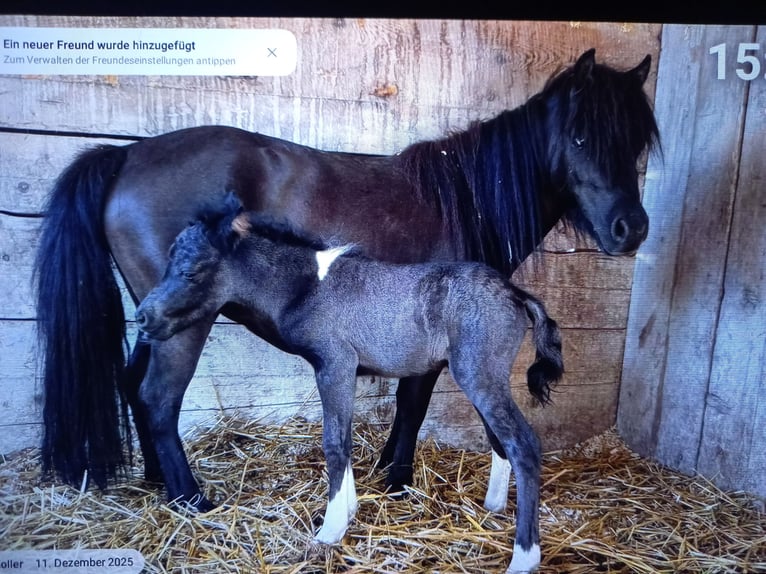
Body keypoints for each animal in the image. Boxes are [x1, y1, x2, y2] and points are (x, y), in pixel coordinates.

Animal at [34, 49, 659, 510]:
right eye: (580, 137)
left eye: (634, 144)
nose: (631, 229)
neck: (462, 200)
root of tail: (127, 156)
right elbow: (412, 406)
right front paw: (397, 480)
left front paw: (388, 474)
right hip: (184, 323)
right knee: (158, 399)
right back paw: (190, 498)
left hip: (157, 316)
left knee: (131, 385)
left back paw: (156, 483)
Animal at [134, 194, 564, 572]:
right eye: (167, 263)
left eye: (193, 271)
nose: (142, 316)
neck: (307, 286)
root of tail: (516, 293)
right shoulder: (341, 370)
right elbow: (344, 436)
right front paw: (350, 509)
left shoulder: (335, 364)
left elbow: (335, 442)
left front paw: (331, 529)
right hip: (483, 375)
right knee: (500, 439)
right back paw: (493, 508)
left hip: (478, 374)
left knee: (523, 444)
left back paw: (524, 558)